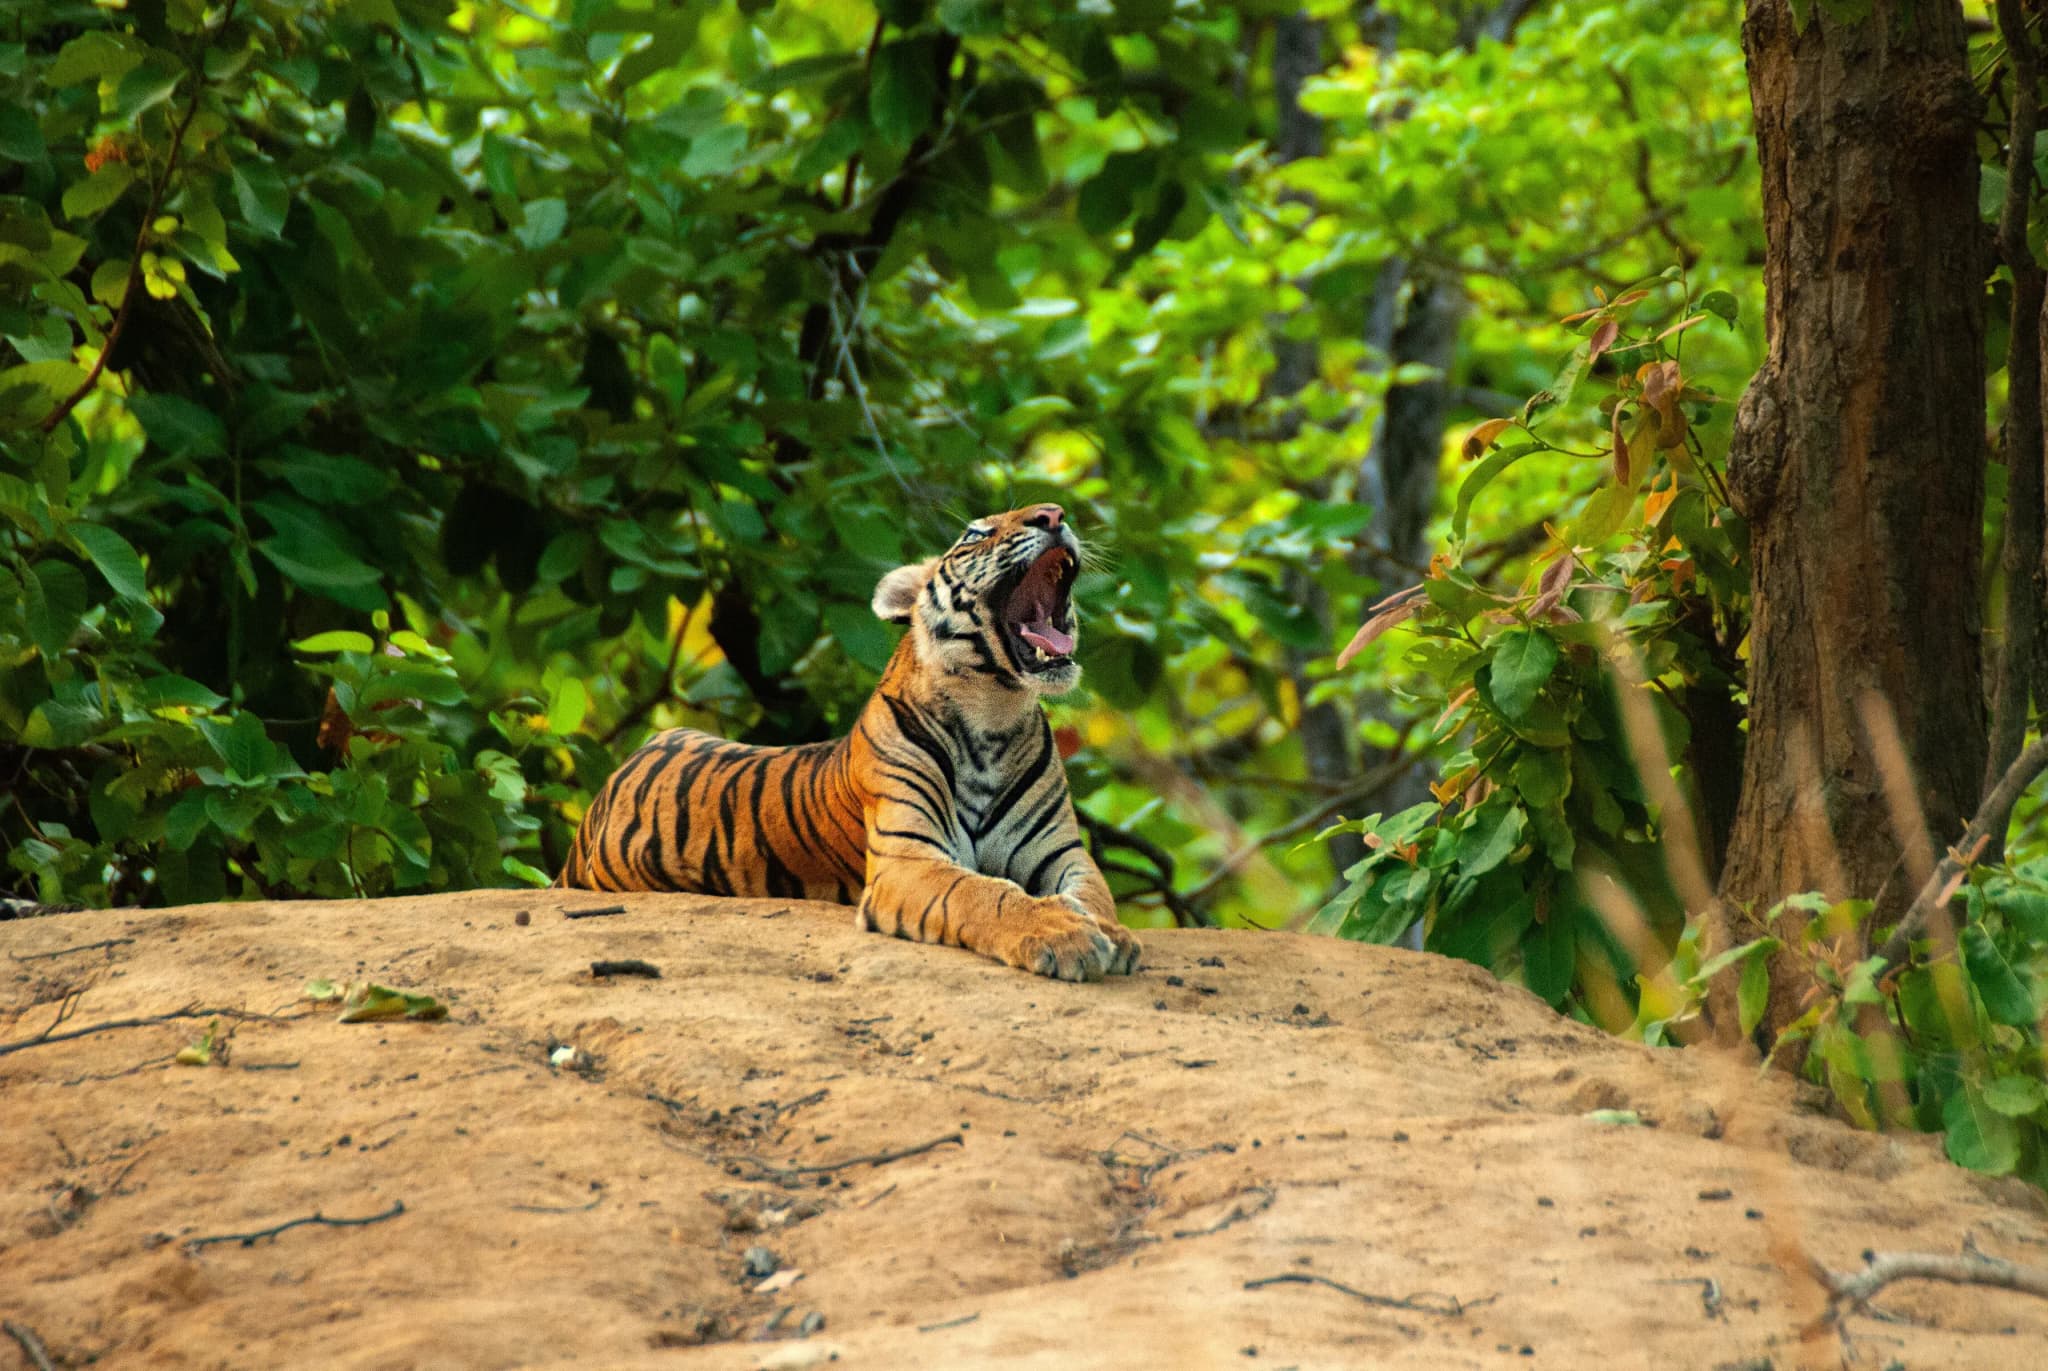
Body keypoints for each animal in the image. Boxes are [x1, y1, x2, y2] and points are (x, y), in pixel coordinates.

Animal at [556, 503, 1143, 982]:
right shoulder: (908, 858)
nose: (1054, 514)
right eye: (975, 533)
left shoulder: (1062, 852)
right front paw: (1061, 934)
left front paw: (1109, 933)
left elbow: (1093, 894)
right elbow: (986, 893)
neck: (993, 716)